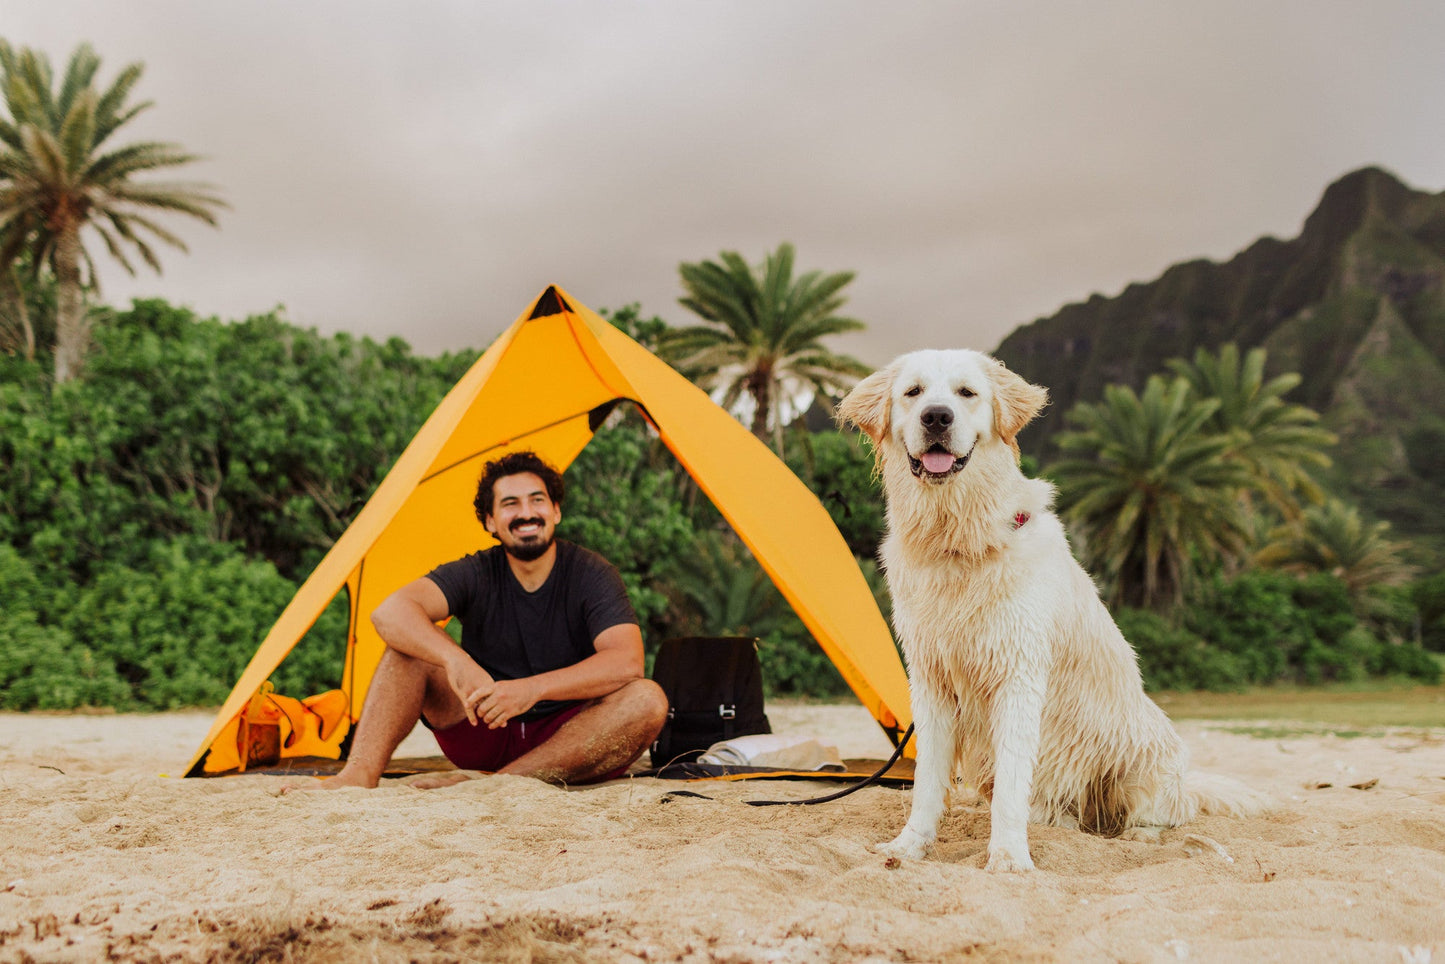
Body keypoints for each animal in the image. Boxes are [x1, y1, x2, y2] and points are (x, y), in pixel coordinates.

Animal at [838, 348, 1265, 872]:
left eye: (966, 393)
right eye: (913, 392)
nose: (936, 417)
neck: (958, 540)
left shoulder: (1018, 675)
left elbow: (1010, 788)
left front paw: (1007, 859)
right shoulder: (931, 682)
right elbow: (926, 785)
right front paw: (909, 846)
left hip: (1141, 759)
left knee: (1164, 813)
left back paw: (1138, 833)